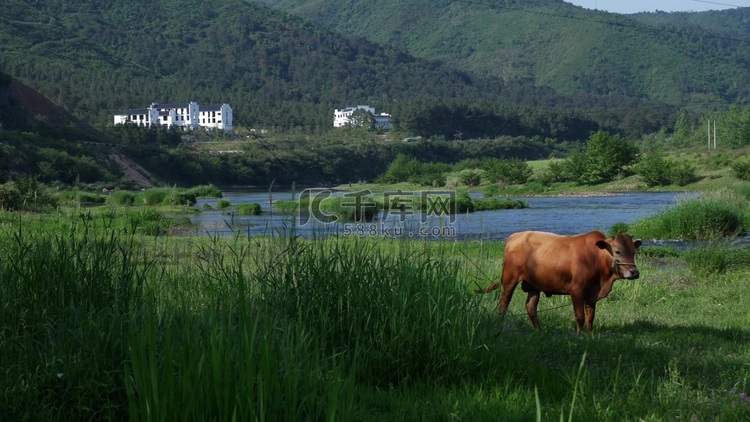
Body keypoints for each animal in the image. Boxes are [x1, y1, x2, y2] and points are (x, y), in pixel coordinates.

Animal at [478, 231, 644, 332]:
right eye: (617, 251)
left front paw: (590, 334)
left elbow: (590, 315)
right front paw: (580, 335)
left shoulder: (592, 293)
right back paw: (500, 324)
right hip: (509, 280)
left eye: (633, 252)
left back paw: (539, 330)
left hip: (534, 285)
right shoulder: (577, 290)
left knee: (531, 307)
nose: (634, 272)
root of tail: (515, 236)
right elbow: (580, 316)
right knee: (504, 303)